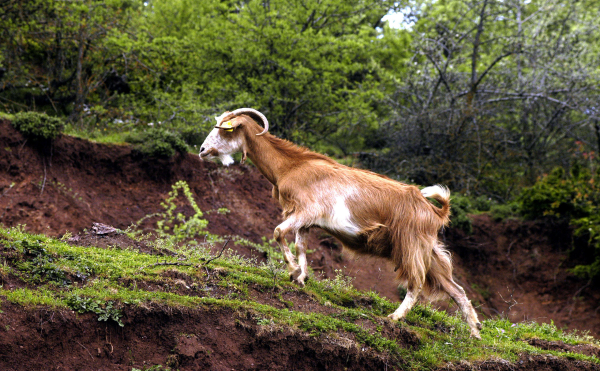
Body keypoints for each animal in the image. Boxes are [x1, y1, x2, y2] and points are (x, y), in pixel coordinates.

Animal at [200, 108, 482, 340]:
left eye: (225, 129)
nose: (202, 151)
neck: (291, 166)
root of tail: (434, 211)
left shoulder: (306, 211)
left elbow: (279, 232)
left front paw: (292, 270)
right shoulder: (305, 222)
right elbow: (301, 247)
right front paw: (301, 278)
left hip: (409, 244)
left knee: (416, 282)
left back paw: (395, 316)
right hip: (429, 250)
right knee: (456, 289)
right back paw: (475, 332)